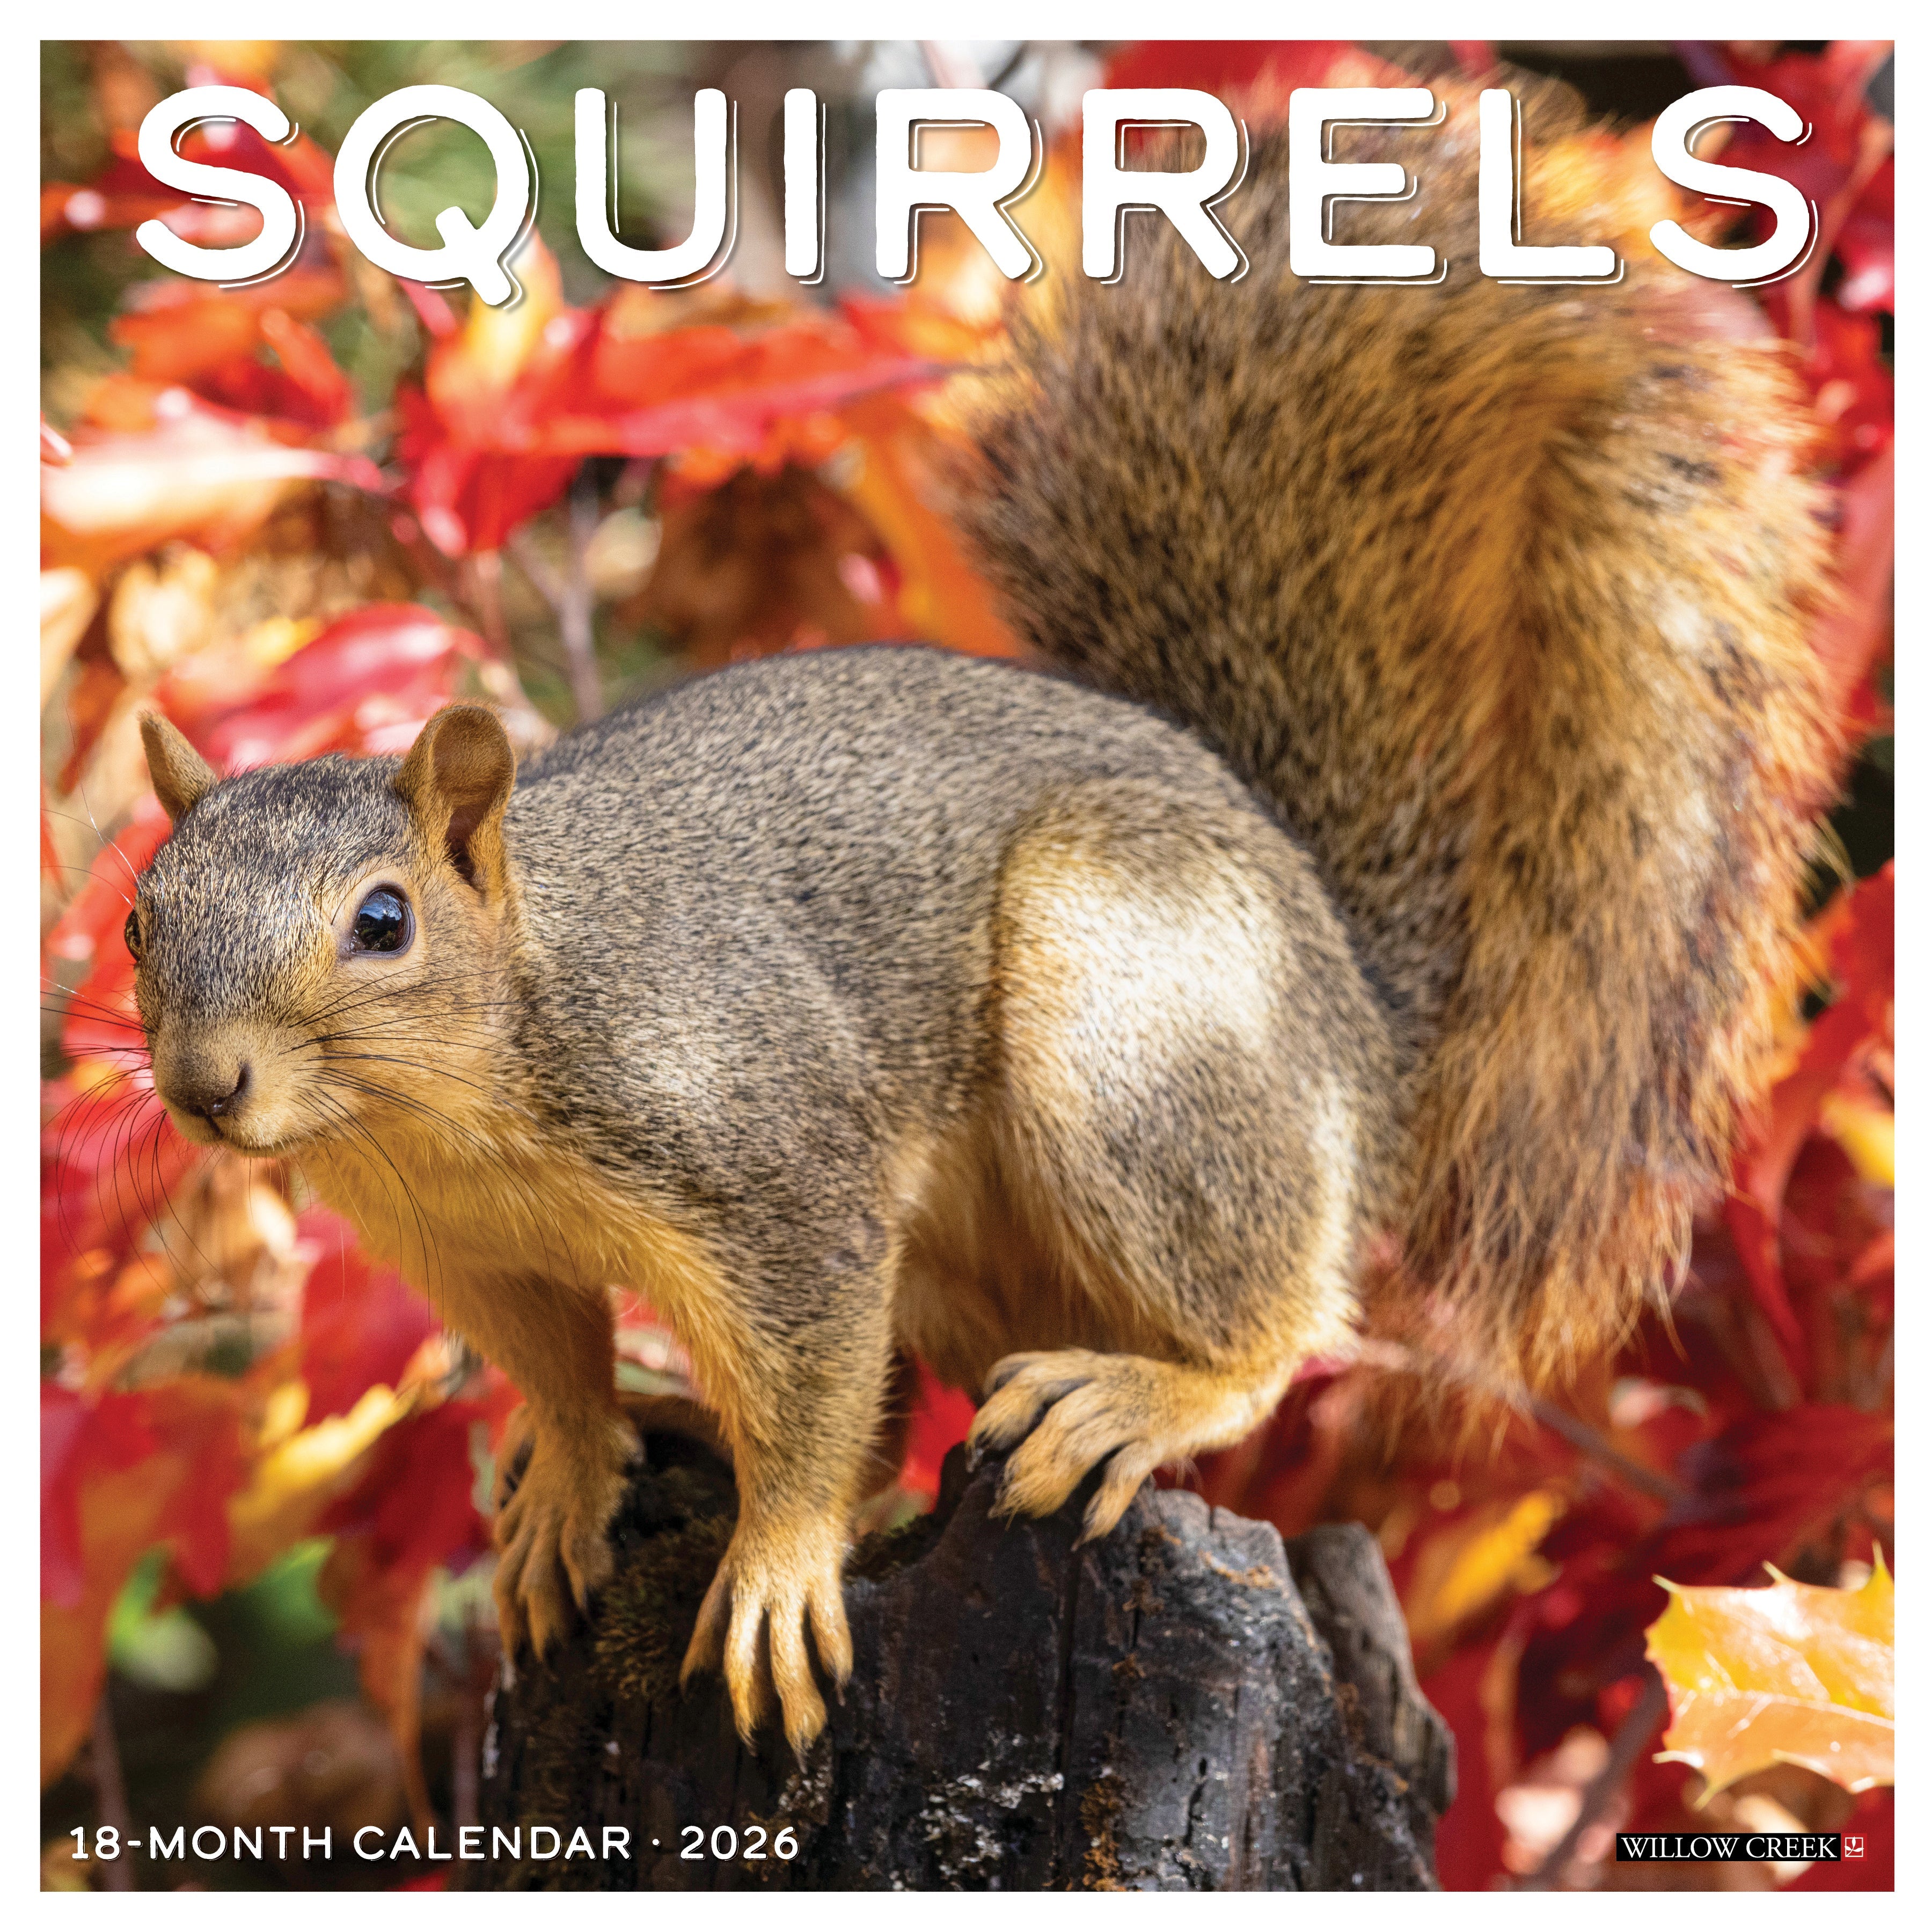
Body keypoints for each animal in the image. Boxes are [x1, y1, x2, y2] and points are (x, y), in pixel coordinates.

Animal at [126, 79, 1834, 1756]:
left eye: (385, 922)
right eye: (144, 919)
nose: (206, 1086)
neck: (460, 1108)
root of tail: (1354, 1018)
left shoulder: (772, 1167)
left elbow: (810, 1384)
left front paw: (775, 1571)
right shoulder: (472, 1253)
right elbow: (559, 1373)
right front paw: (568, 1475)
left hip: (1133, 1025)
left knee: (1279, 1316)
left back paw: (1139, 1397)